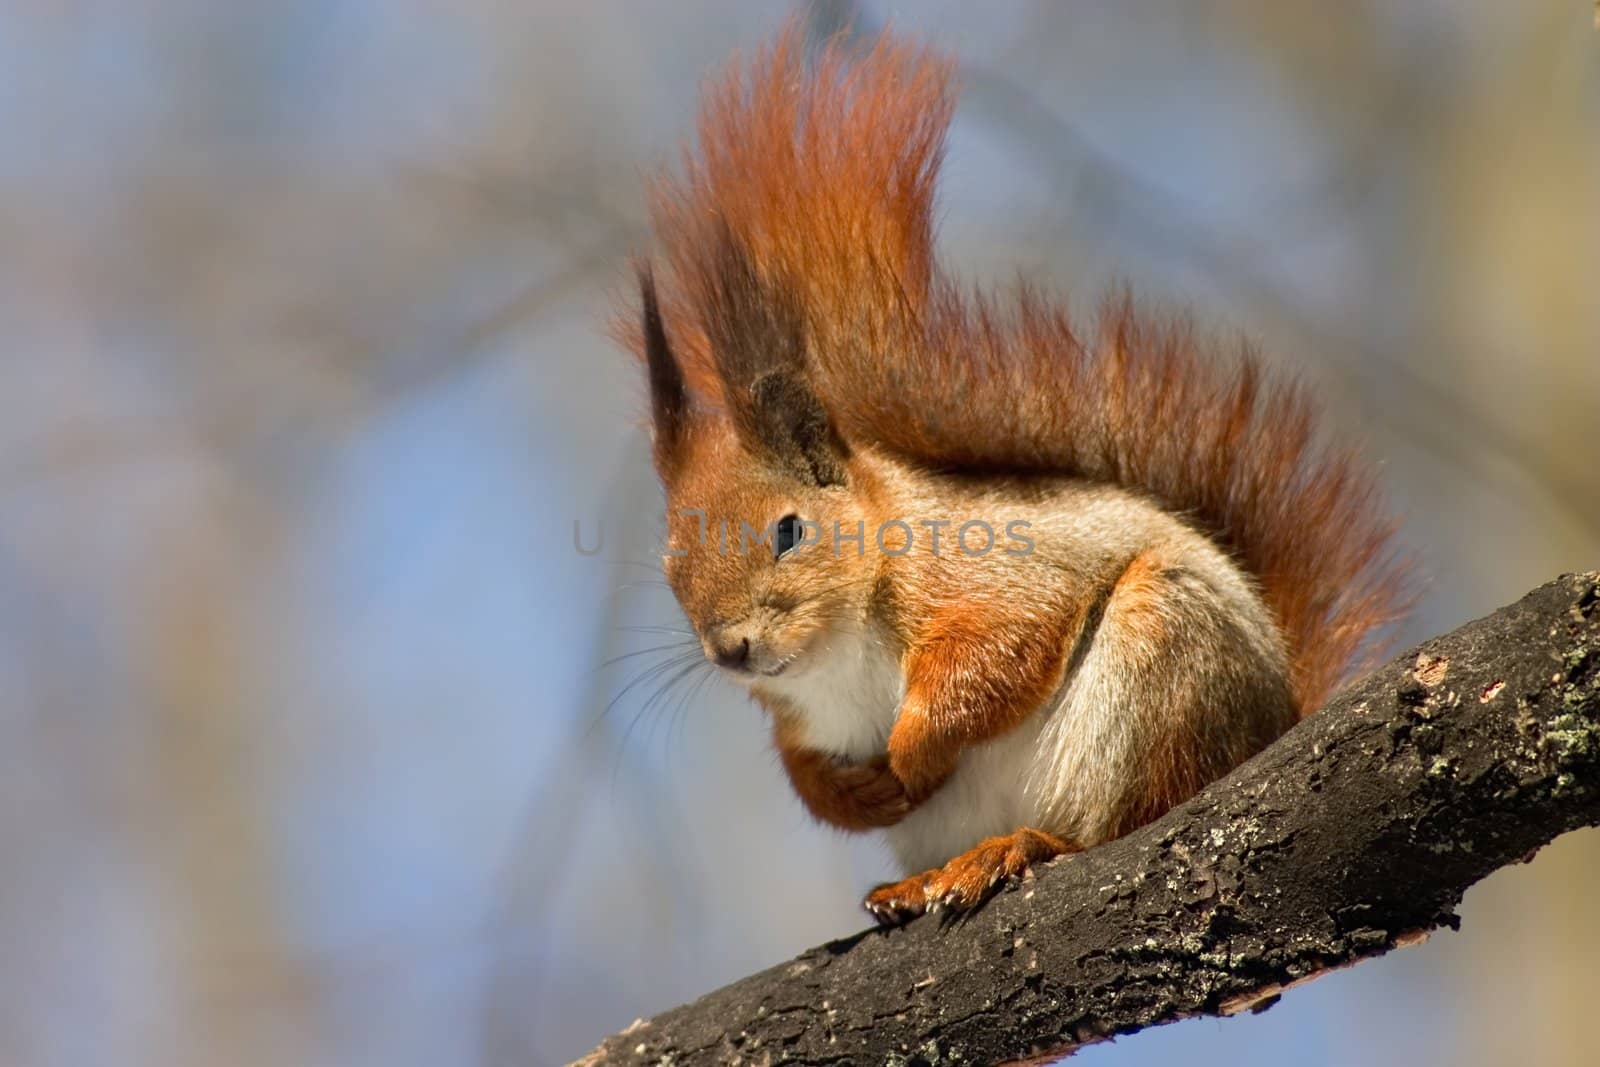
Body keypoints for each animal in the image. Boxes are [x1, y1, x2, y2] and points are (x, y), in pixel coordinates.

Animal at [611, 22, 1401, 927]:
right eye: (671, 565)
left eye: (788, 530)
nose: (731, 649)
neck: (838, 647)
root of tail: (1276, 725)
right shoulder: (796, 716)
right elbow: (801, 765)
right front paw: (851, 794)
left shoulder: (996, 573)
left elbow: (999, 649)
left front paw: (911, 749)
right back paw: (919, 880)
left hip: (1165, 668)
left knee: (1124, 820)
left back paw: (1020, 845)